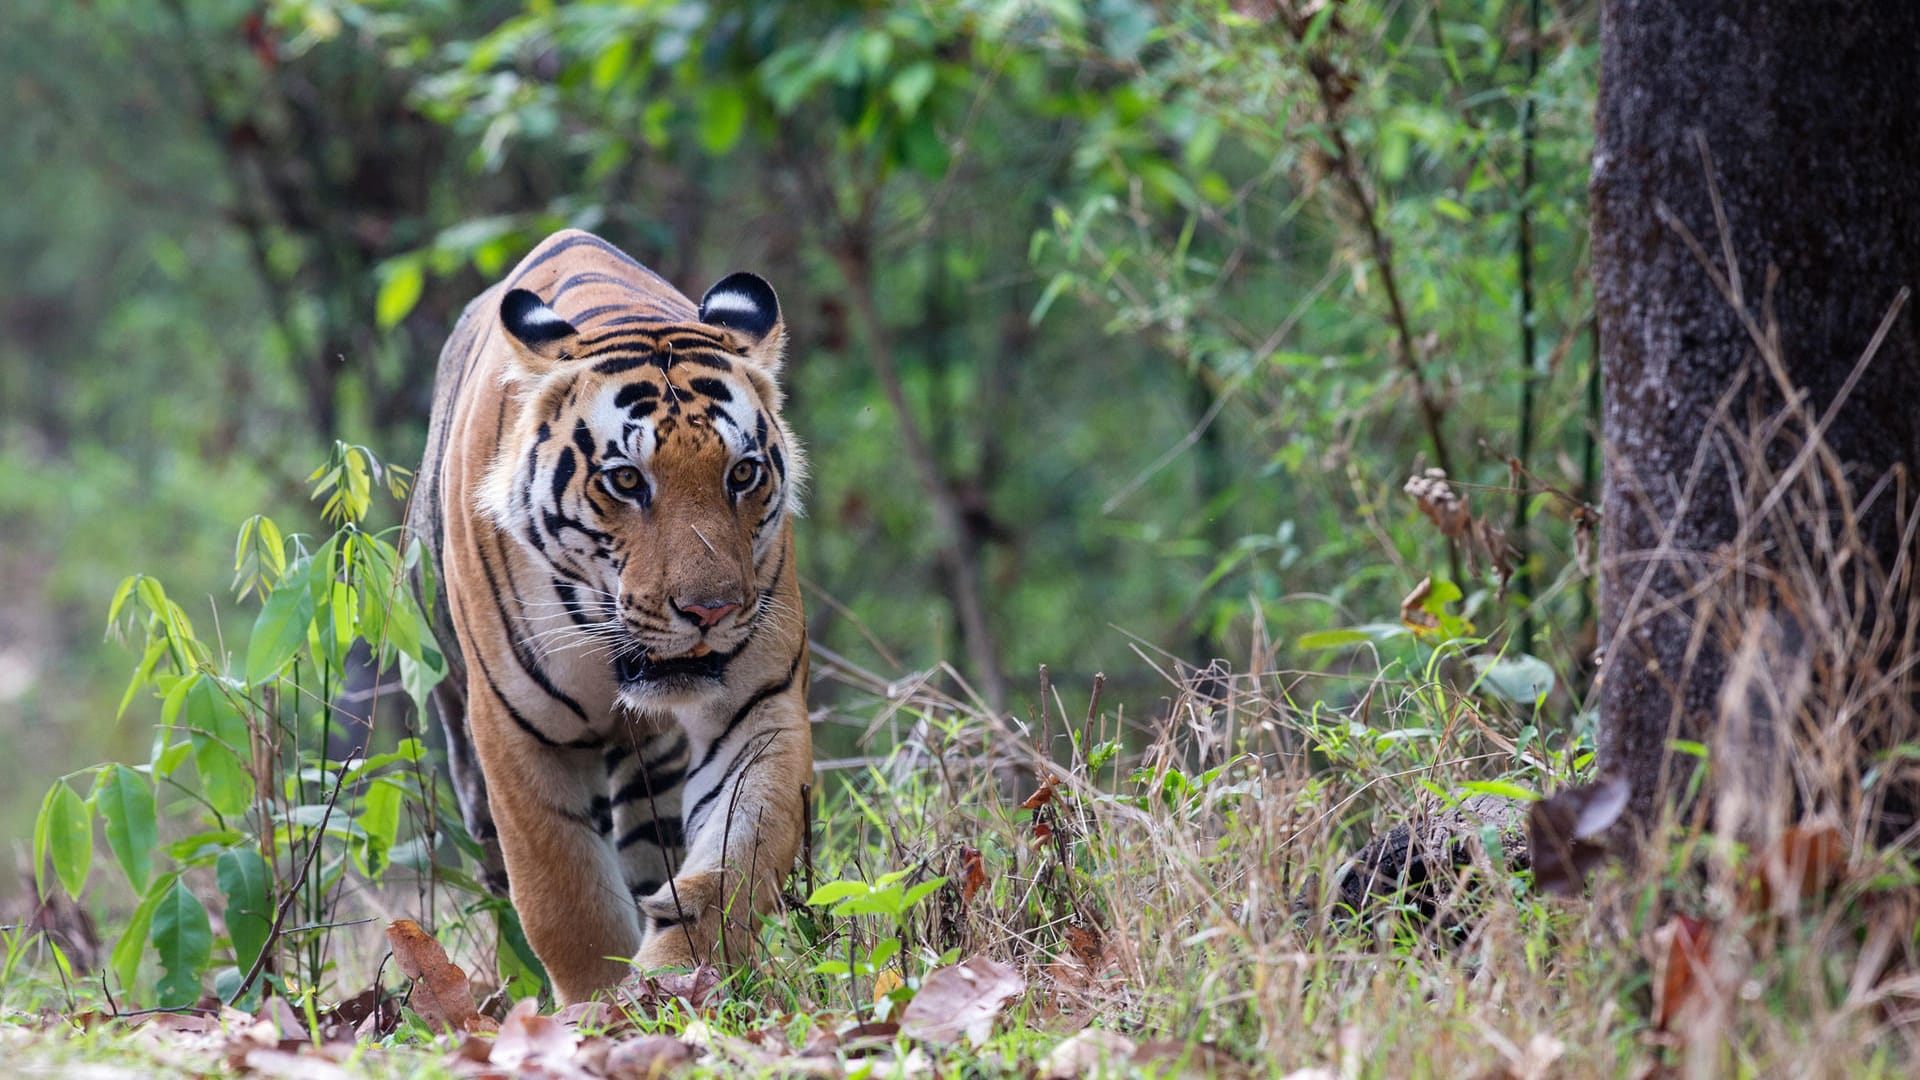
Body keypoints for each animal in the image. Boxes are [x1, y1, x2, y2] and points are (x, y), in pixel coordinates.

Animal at [410, 226, 810, 999]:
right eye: (626, 480)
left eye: (743, 473)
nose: (711, 610)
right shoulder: (516, 731)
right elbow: (565, 898)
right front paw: (597, 1006)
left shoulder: (759, 703)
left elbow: (738, 857)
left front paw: (676, 979)